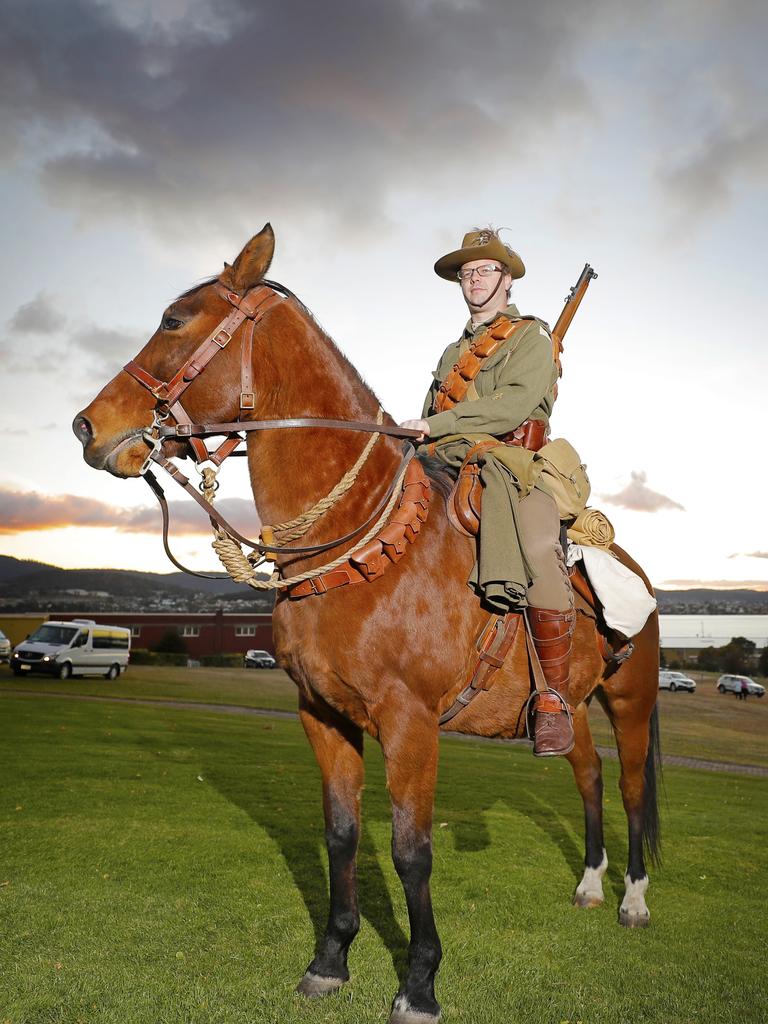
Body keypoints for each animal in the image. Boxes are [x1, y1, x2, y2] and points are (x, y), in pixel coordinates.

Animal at [73, 226, 663, 1024]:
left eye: (173, 319)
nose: (88, 426)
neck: (361, 542)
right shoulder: (322, 716)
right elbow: (341, 835)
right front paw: (330, 958)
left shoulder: (409, 725)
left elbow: (412, 852)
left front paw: (420, 983)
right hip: (568, 706)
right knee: (589, 773)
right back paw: (591, 884)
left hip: (631, 700)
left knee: (629, 786)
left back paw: (632, 899)